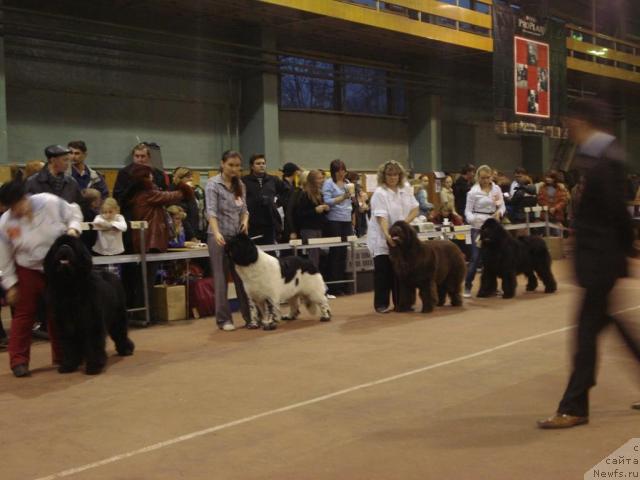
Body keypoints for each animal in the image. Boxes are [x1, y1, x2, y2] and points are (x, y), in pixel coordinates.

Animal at [44, 233, 135, 376]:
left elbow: (93, 343)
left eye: (72, 246)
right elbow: (68, 345)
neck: (69, 288)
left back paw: (126, 349)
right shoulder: (65, 324)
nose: (64, 248)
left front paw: (94, 366)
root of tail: (112, 274)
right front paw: (68, 365)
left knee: (120, 333)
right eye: (58, 246)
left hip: (118, 316)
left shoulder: (92, 321)